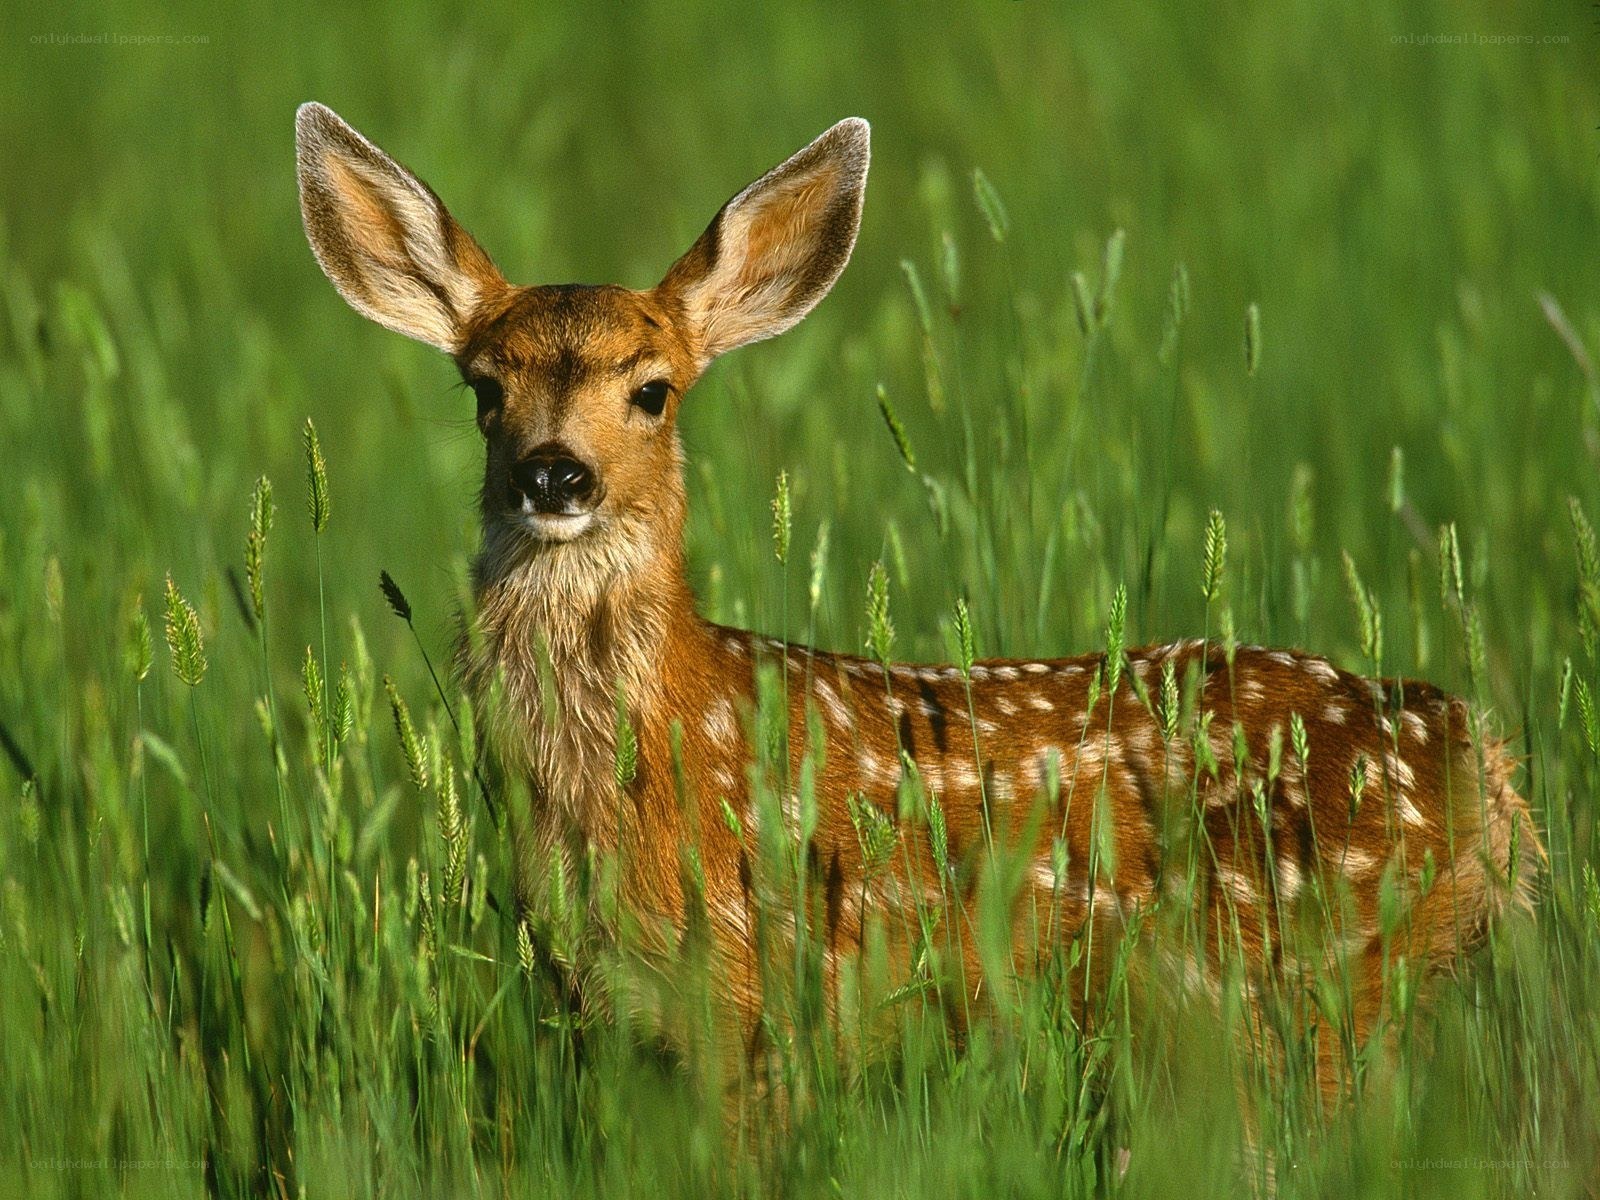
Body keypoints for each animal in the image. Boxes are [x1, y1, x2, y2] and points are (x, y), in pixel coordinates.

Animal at [294, 102, 1540, 1100]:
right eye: (483, 390)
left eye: (651, 391)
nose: (554, 475)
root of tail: (1477, 758)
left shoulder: (750, 994)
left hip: (1307, 970)